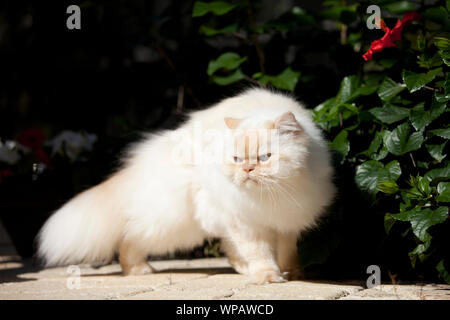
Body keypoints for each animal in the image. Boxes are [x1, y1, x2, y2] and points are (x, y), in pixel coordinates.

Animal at [37, 87, 336, 282]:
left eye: (265, 158)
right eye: (237, 159)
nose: (247, 169)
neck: (271, 197)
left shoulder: (288, 222)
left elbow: (287, 252)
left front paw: (293, 273)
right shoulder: (246, 223)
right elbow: (259, 252)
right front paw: (267, 277)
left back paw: (241, 267)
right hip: (177, 223)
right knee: (130, 240)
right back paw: (137, 270)